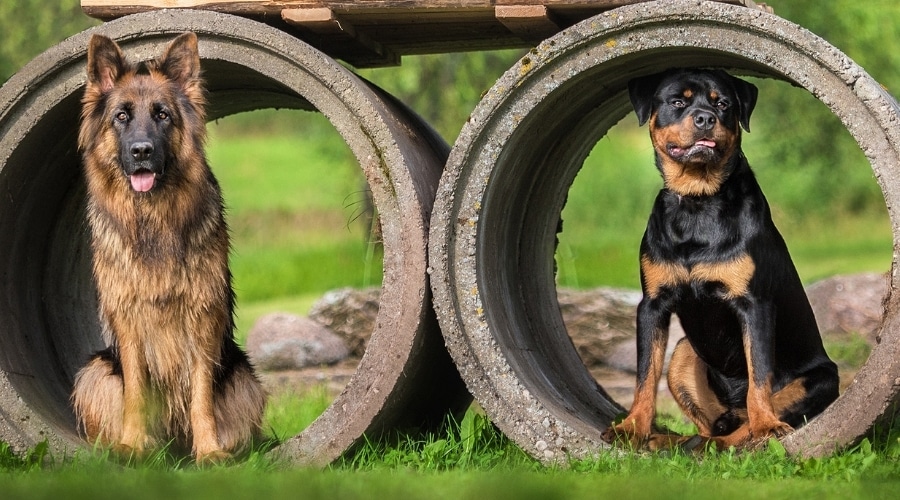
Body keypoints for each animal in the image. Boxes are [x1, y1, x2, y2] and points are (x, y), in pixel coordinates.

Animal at [70, 31, 268, 462]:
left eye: (162, 115)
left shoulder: (202, 316)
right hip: (96, 369)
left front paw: (209, 452)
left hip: (243, 378)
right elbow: (135, 392)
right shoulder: (128, 320)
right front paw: (132, 445)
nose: (142, 151)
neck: (152, 221)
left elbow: (201, 396)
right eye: (121, 116)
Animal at [600, 69, 840, 450]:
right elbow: (644, 375)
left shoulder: (754, 304)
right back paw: (672, 440)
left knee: (753, 414)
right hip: (683, 354)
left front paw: (766, 427)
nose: (704, 118)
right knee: (706, 425)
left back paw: (733, 439)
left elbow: (760, 377)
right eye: (677, 102)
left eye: (723, 103)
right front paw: (631, 428)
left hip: (821, 379)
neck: (698, 201)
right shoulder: (652, 305)